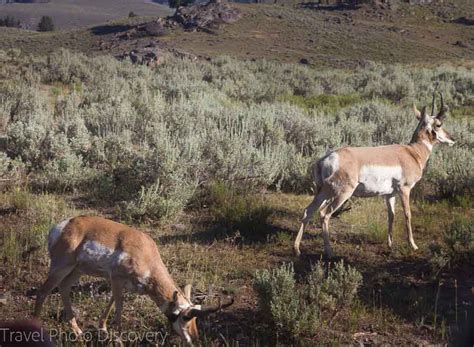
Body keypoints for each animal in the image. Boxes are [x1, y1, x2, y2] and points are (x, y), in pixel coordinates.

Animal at [32, 216, 233, 346]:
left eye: (195, 319)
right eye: (183, 317)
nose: (194, 341)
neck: (146, 255)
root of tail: (63, 226)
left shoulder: (123, 284)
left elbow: (112, 302)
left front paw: (103, 330)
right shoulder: (116, 279)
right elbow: (119, 309)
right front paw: (118, 340)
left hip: (77, 270)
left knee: (64, 288)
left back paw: (78, 331)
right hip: (61, 267)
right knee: (43, 292)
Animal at [294, 92, 454, 258]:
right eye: (439, 124)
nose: (452, 139)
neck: (412, 152)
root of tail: (326, 159)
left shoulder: (390, 194)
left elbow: (391, 215)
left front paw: (390, 244)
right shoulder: (405, 190)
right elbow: (407, 214)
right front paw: (413, 245)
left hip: (323, 192)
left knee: (308, 211)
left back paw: (297, 249)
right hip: (341, 193)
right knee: (324, 214)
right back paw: (329, 252)